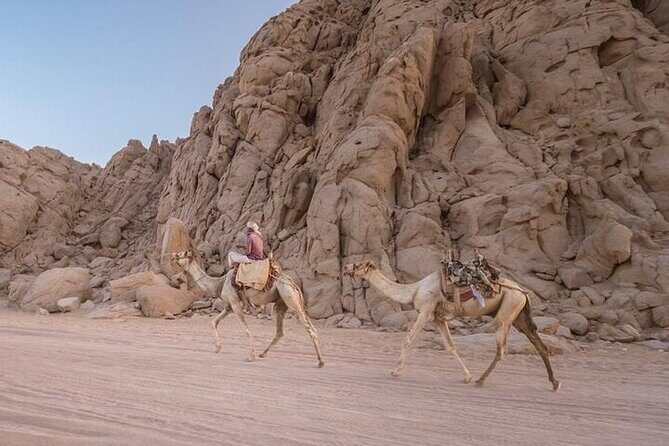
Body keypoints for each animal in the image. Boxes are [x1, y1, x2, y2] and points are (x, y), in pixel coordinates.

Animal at [170, 251, 324, 368]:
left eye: (180, 254)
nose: (172, 255)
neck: (219, 283)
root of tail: (292, 283)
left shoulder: (235, 304)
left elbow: (246, 329)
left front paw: (251, 356)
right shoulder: (229, 306)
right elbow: (214, 322)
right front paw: (218, 348)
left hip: (289, 297)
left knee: (308, 328)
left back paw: (320, 362)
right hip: (281, 303)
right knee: (282, 331)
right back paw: (264, 353)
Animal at [344, 260, 560, 390]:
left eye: (360, 264)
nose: (346, 267)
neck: (415, 289)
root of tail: (523, 291)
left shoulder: (426, 312)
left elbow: (408, 340)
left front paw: (396, 371)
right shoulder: (438, 318)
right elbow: (451, 346)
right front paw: (467, 376)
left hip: (507, 312)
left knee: (502, 349)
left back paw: (482, 380)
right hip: (519, 316)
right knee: (539, 344)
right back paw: (555, 382)